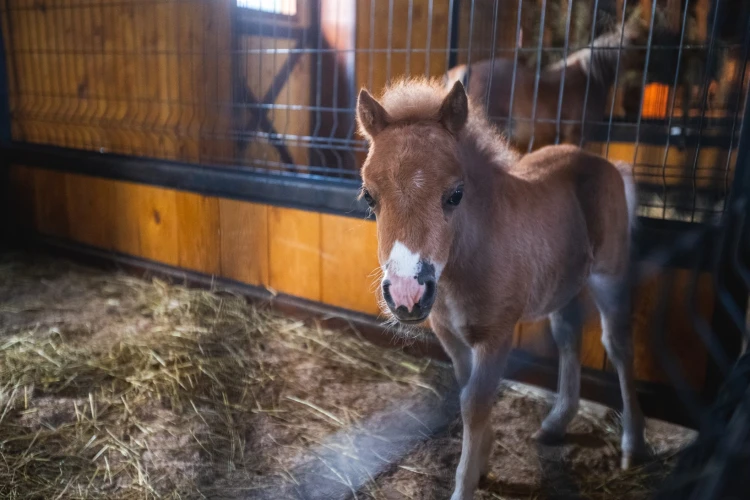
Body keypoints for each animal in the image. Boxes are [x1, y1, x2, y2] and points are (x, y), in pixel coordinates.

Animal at [358, 79, 648, 500]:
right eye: (368, 195)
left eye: (456, 194)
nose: (406, 294)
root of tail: (608, 164)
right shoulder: (450, 334)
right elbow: (467, 393)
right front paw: (482, 461)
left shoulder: (496, 336)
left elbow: (474, 403)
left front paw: (466, 483)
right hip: (562, 283)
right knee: (569, 337)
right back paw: (556, 423)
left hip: (609, 275)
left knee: (619, 345)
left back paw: (632, 444)